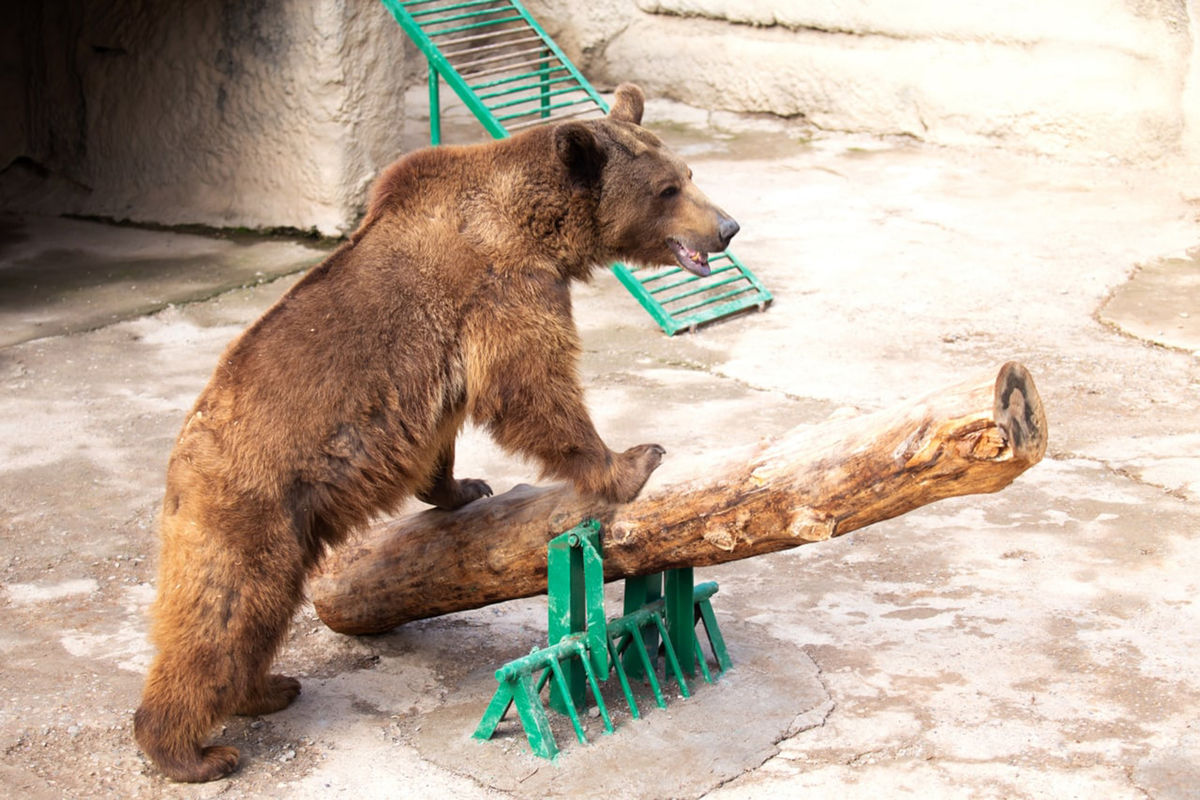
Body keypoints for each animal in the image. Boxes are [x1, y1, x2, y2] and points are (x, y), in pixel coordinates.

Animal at [138, 82, 739, 782]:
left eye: (689, 174)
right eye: (668, 189)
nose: (727, 228)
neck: (537, 227)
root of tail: (180, 459)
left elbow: (450, 434)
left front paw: (465, 486)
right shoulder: (503, 287)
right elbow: (532, 385)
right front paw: (633, 459)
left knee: (257, 616)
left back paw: (267, 689)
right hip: (252, 503)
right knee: (226, 610)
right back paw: (193, 749)